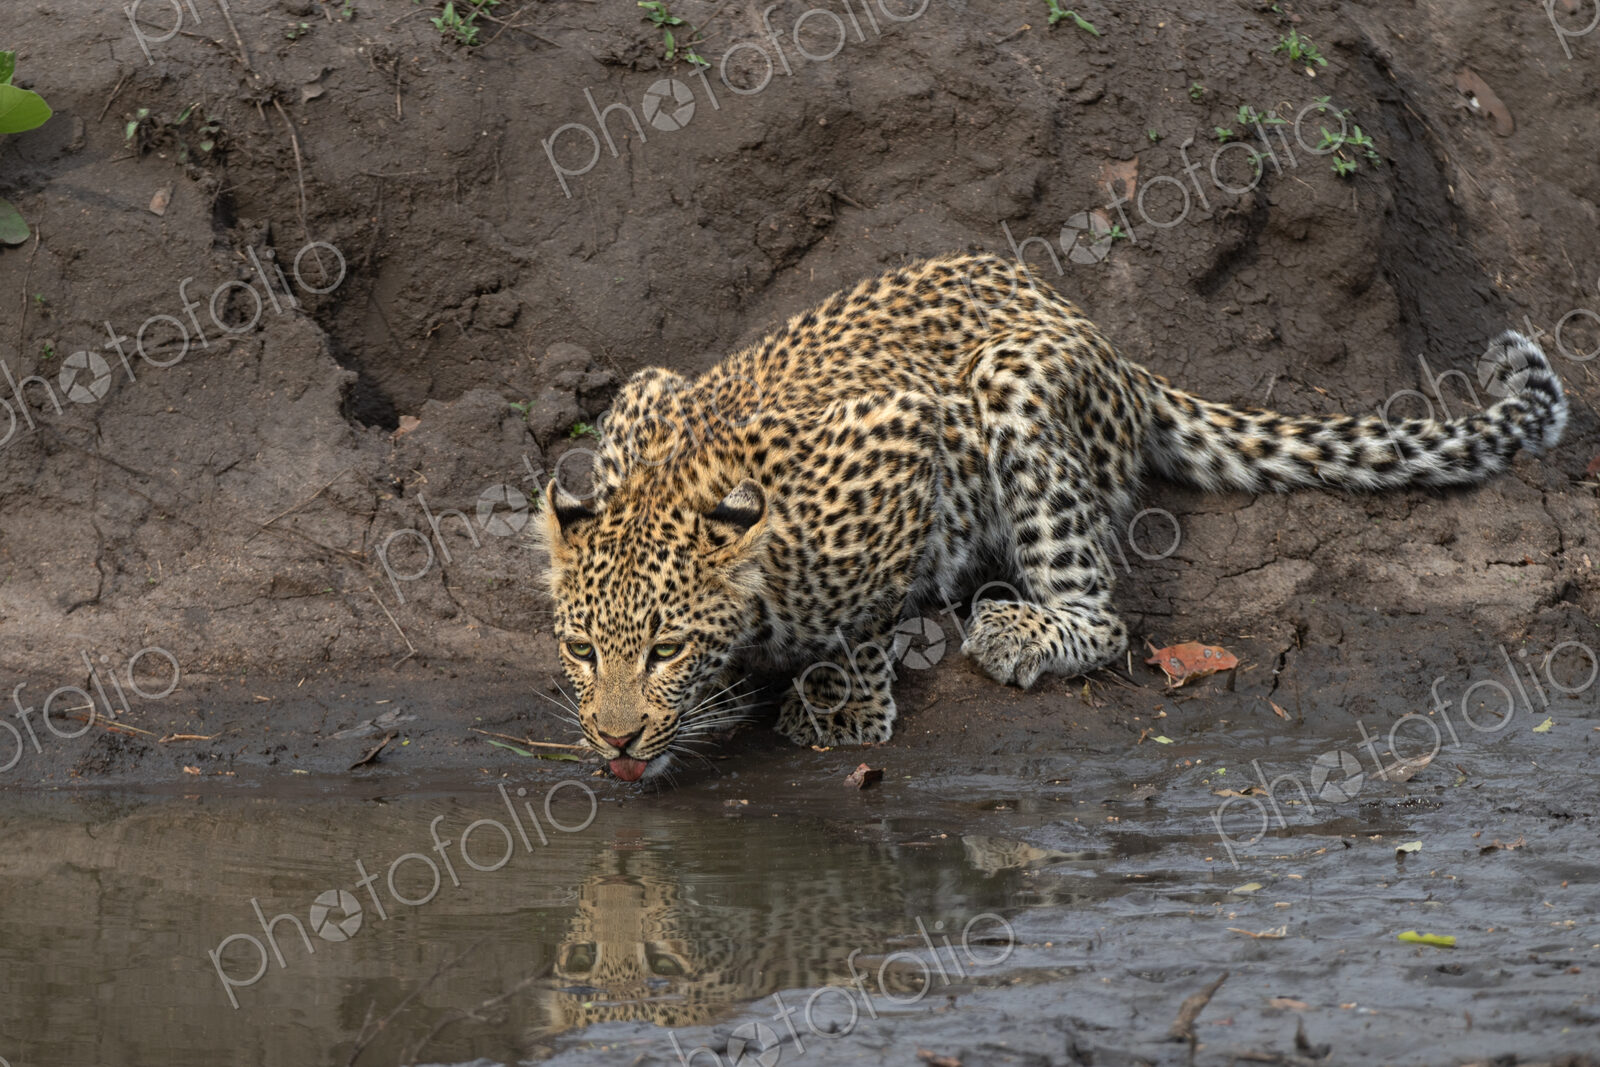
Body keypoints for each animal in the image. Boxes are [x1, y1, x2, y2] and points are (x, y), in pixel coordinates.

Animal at [537, 253, 1568, 783]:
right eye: (582, 650)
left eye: (667, 649)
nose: (614, 739)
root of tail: (1105, 338)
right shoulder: (644, 395)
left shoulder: (899, 430)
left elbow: (858, 610)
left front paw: (843, 698)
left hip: (1015, 377)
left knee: (1103, 617)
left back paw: (1014, 629)